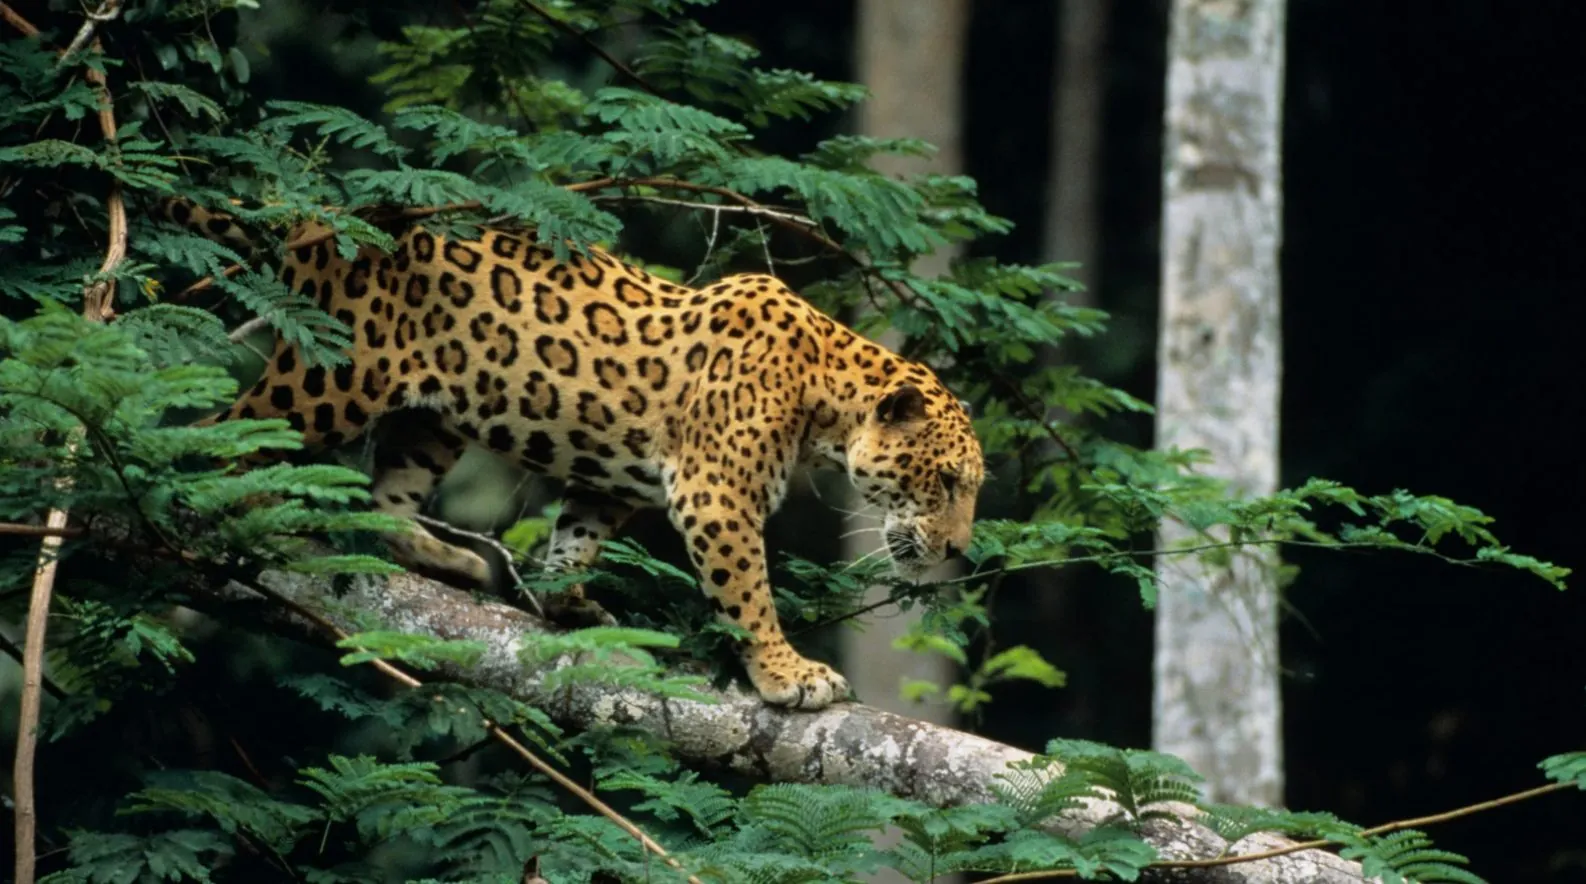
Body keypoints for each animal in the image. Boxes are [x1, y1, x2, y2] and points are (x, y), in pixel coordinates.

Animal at [167, 200, 985, 710]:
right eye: (947, 482)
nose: (957, 551)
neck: (825, 396)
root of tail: (318, 224)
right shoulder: (716, 496)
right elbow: (749, 595)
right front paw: (789, 675)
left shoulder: (618, 485)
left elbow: (577, 538)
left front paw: (566, 600)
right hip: (332, 378)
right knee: (223, 430)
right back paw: (234, 503)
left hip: (432, 419)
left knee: (386, 496)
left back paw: (447, 559)